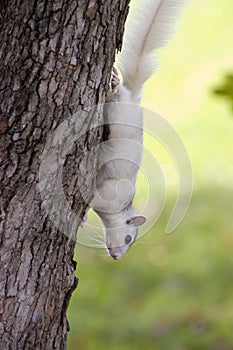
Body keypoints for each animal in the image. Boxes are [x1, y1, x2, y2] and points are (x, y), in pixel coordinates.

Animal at [88, 0, 185, 260]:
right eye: (129, 238)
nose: (117, 257)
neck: (115, 212)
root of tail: (134, 98)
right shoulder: (111, 193)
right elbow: (94, 197)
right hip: (121, 111)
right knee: (119, 92)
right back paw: (113, 82)